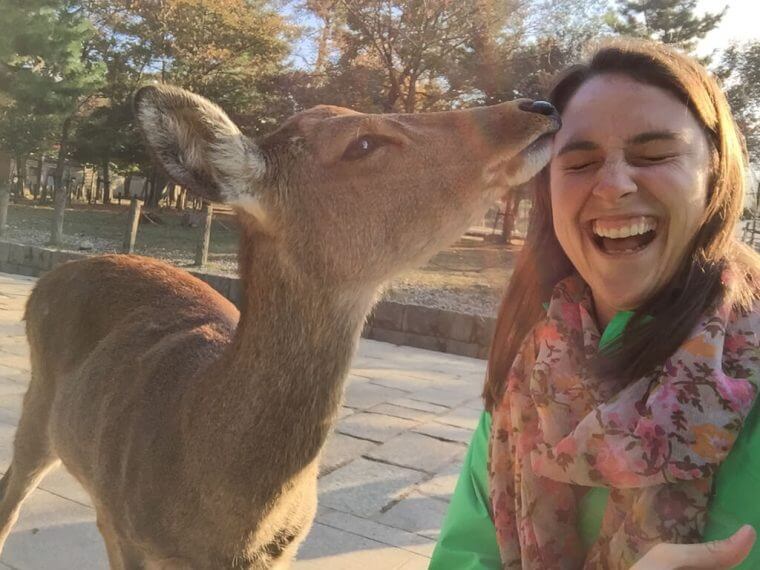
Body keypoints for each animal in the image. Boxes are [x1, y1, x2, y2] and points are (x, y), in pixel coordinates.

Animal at [0, 85, 559, 569]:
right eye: (361, 143)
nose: (540, 107)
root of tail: (46, 280)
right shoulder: (125, 531)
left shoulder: (285, 551)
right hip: (40, 412)